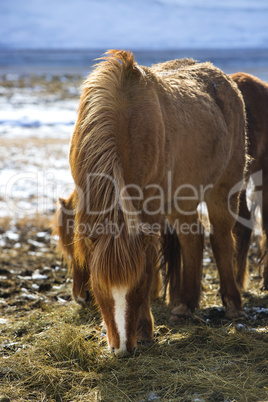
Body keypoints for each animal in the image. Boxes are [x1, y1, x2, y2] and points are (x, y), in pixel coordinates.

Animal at [68, 50, 245, 354]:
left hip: (222, 190)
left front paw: (144, 330)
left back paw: (233, 304)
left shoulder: (150, 210)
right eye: (98, 286)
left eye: (139, 285)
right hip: (180, 199)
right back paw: (184, 306)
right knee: (193, 238)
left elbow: (150, 263)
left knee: (221, 238)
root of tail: (225, 80)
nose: (122, 348)